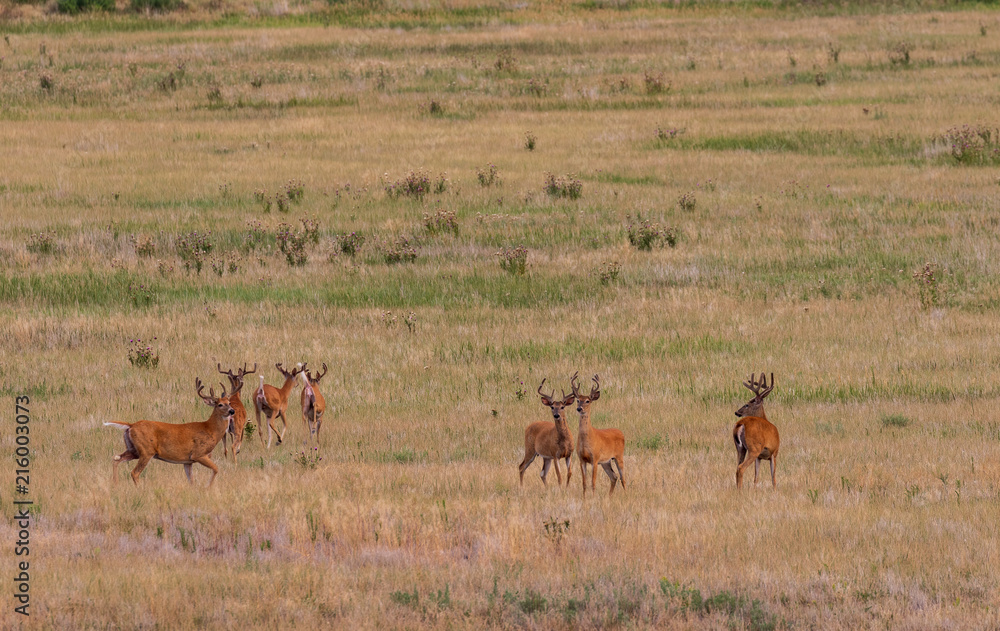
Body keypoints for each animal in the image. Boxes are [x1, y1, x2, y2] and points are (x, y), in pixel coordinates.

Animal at [103, 379, 235, 486]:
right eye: (220, 404)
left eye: (229, 403)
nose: (232, 411)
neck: (210, 429)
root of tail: (131, 425)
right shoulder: (198, 454)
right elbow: (216, 469)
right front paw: (207, 487)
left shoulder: (187, 461)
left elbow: (191, 481)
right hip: (146, 451)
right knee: (134, 472)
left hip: (133, 450)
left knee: (116, 459)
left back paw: (115, 484)